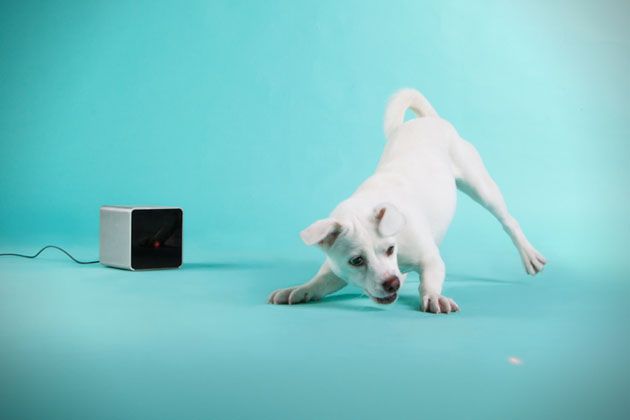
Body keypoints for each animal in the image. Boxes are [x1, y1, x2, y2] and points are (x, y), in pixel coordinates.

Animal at [268, 89, 546, 313]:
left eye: (390, 249)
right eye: (356, 261)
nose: (393, 283)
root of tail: (428, 120)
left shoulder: (431, 259)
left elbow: (430, 280)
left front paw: (433, 297)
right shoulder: (336, 271)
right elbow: (320, 282)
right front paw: (299, 289)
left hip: (481, 187)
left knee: (508, 221)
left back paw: (529, 255)